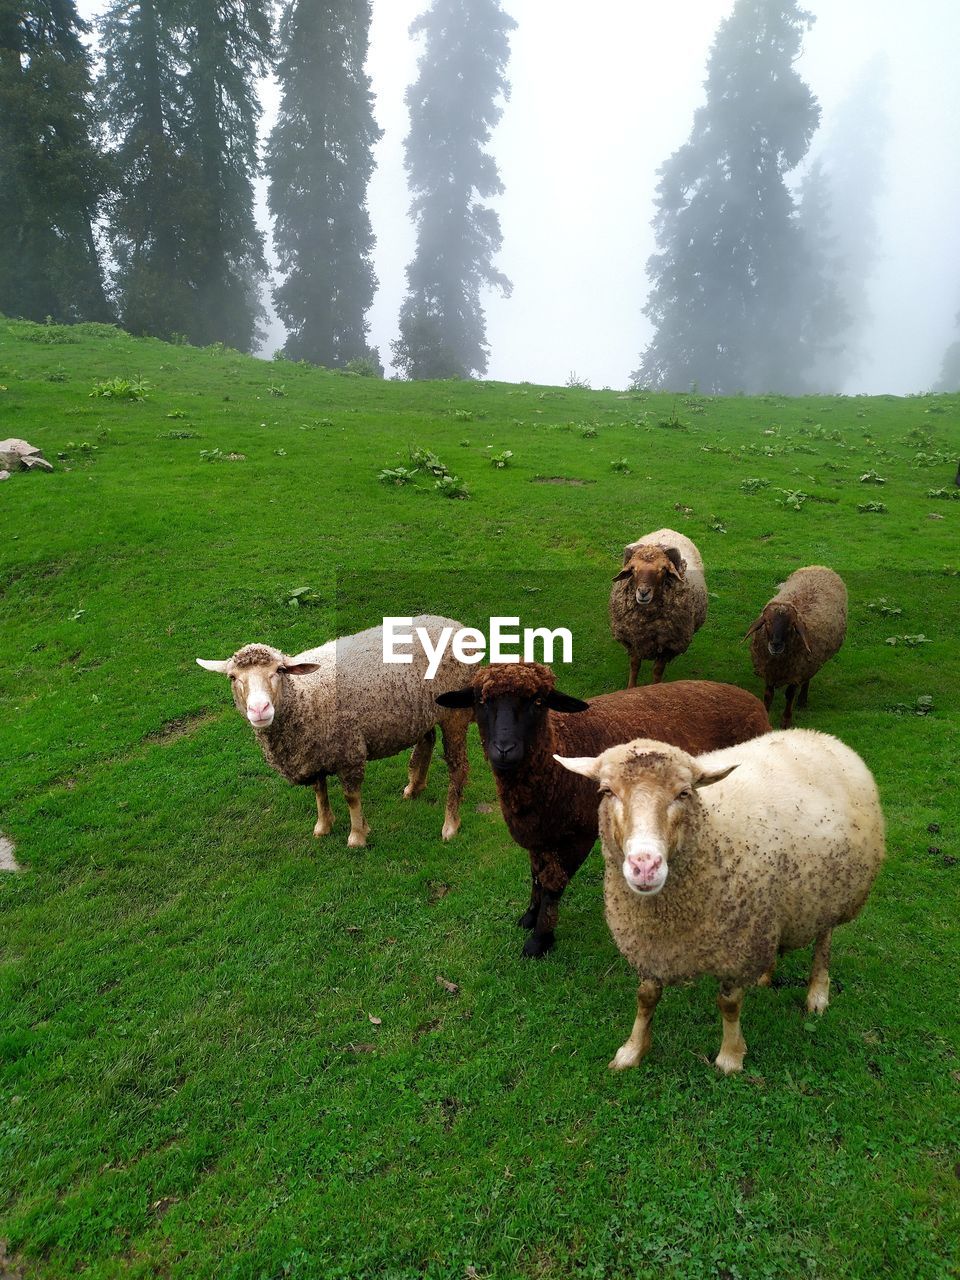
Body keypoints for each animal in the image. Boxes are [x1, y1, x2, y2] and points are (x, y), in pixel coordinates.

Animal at [197, 616, 473, 848]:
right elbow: (319, 790)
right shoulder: (312, 752)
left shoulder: (349, 750)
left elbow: (351, 797)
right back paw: (415, 786)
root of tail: (455, 625)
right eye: (232, 677)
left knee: (458, 766)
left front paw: (357, 836)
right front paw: (323, 826)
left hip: (456, 712)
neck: (305, 695)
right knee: (427, 740)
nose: (259, 709)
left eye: (279, 671)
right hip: (423, 712)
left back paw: (450, 825)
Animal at [437, 662, 769, 957]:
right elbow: (536, 875)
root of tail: (753, 700)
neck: (555, 757)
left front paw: (540, 939)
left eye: (538, 702)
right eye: (481, 701)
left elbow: (553, 884)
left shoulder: (578, 836)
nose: (504, 750)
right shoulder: (539, 832)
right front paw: (529, 917)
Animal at [556, 729, 885, 1074]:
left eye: (683, 793)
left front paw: (730, 1057)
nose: (645, 865)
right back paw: (765, 975)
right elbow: (646, 997)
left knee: (824, 941)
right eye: (606, 791)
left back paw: (818, 993)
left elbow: (728, 1004)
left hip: (834, 895)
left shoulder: (737, 946)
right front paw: (632, 1050)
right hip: (776, 909)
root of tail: (823, 737)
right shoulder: (651, 945)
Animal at [609, 528, 708, 686]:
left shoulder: (668, 646)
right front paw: (631, 688)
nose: (643, 592)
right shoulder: (634, 640)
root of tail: (668, 530)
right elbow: (635, 665)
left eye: (663, 569)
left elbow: (657, 671)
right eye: (633, 569)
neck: (646, 621)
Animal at [745, 566, 847, 728]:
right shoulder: (769, 670)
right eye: (767, 622)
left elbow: (790, 694)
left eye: (791, 625)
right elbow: (768, 695)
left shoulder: (796, 672)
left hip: (811, 662)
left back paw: (802, 700)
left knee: (807, 680)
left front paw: (786, 721)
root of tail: (820, 567)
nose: (775, 645)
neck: (778, 662)